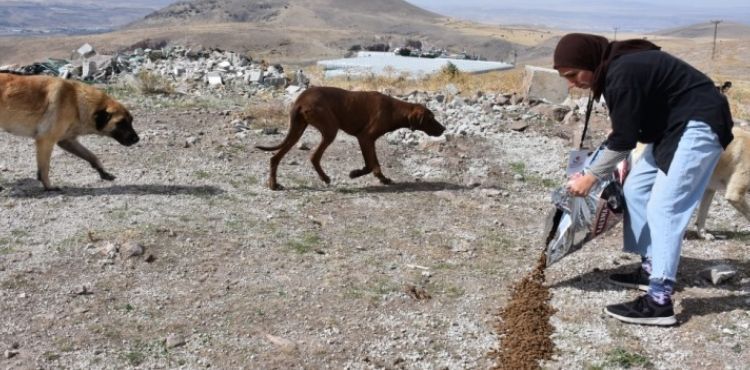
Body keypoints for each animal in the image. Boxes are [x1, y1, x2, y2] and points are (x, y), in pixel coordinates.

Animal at [0, 71, 140, 191]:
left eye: (131, 121)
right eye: (121, 123)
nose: (137, 139)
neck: (76, 101)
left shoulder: (67, 141)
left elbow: (92, 156)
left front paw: (104, 172)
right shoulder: (46, 141)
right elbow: (45, 168)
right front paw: (48, 187)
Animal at [258, 86, 446, 189]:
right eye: (431, 118)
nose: (444, 129)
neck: (394, 110)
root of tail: (301, 99)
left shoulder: (366, 140)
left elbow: (371, 164)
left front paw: (376, 177)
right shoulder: (366, 138)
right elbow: (372, 165)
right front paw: (356, 174)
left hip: (297, 130)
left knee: (275, 158)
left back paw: (273, 185)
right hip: (329, 130)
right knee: (313, 157)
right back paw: (324, 178)